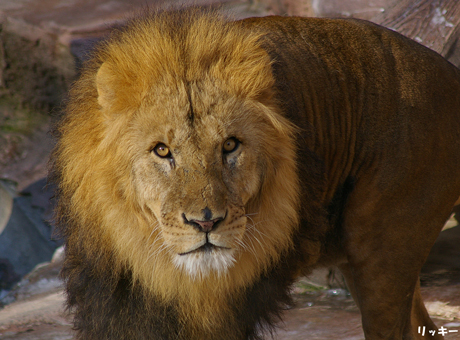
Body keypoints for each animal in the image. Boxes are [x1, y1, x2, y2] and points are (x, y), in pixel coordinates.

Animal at [50, 7, 460, 340]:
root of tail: (449, 71)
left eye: (230, 145)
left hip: (383, 249)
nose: (206, 222)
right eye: (162, 151)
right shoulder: (113, 303)